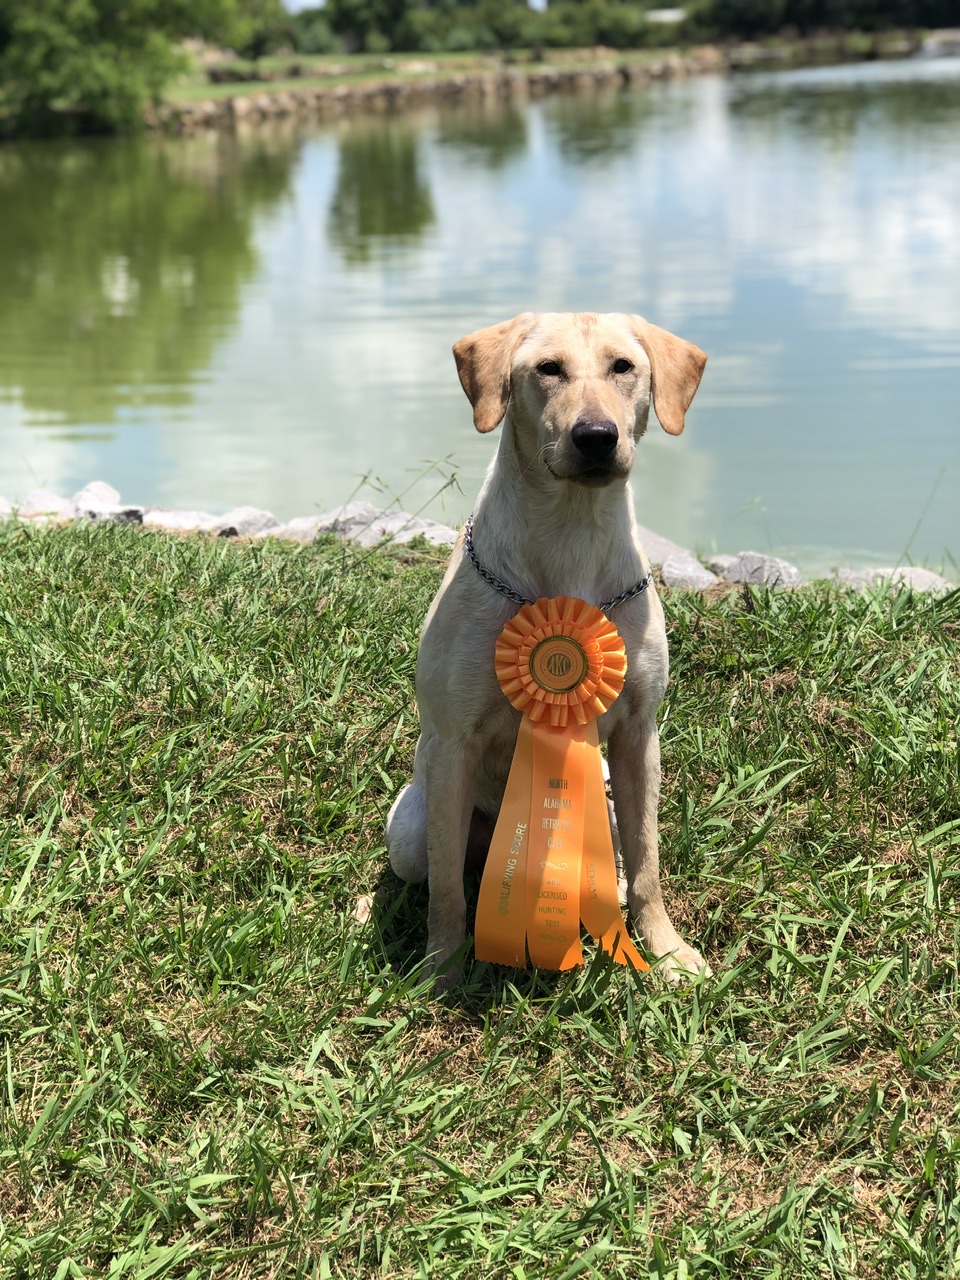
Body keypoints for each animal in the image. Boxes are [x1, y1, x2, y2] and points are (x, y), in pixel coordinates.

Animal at [386, 312, 711, 988]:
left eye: (623, 366)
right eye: (548, 369)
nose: (596, 437)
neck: (570, 534)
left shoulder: (638, 736)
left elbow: (648, 862)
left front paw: (665, 950)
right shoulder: (454, 743)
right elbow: (447, 892)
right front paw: (440, 969)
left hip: (601, 810)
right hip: (410, 830)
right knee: (434, 872)